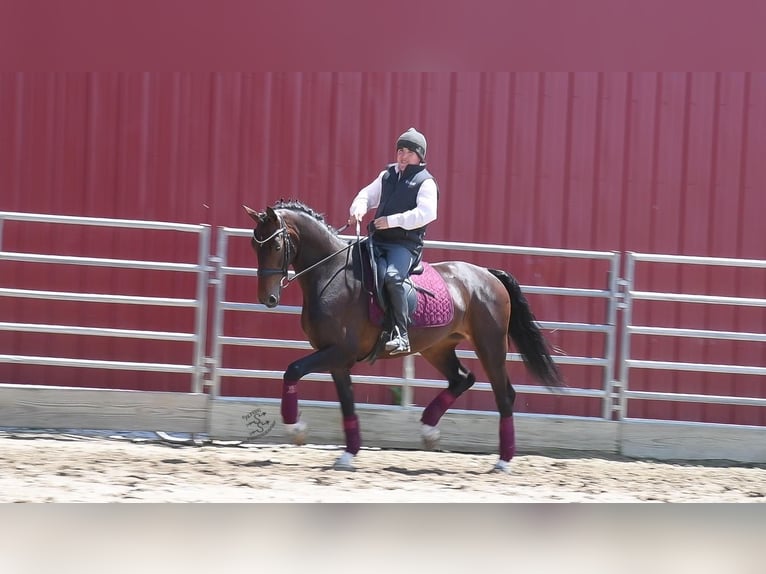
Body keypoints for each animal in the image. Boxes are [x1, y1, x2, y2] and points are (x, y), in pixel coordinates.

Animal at [244, 200, 565, 472]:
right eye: (254, 244)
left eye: (275, 244)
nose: (267, 298)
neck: (331, 275)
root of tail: (487, 274)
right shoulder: (336, 359)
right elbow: (346, 402)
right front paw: (348, 454)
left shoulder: (338, 352)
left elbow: (293, 370)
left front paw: (296, 429)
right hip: (437, 348)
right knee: (462, 378)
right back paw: (429, 431)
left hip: (490, 346)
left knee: (503, 394)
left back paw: (503, 461)